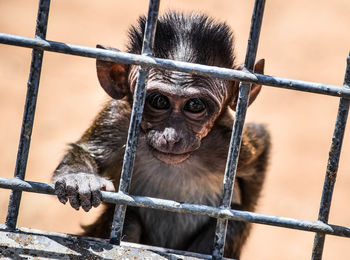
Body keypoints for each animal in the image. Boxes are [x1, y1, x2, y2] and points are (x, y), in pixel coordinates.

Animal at [52, 11, 270, 258]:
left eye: (195, 105)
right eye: (158, 101)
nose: (171, 136)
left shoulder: (228, 140)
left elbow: (260, 149)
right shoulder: (117, 119)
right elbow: (86, 151)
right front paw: (79, 178)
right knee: (130, 221)